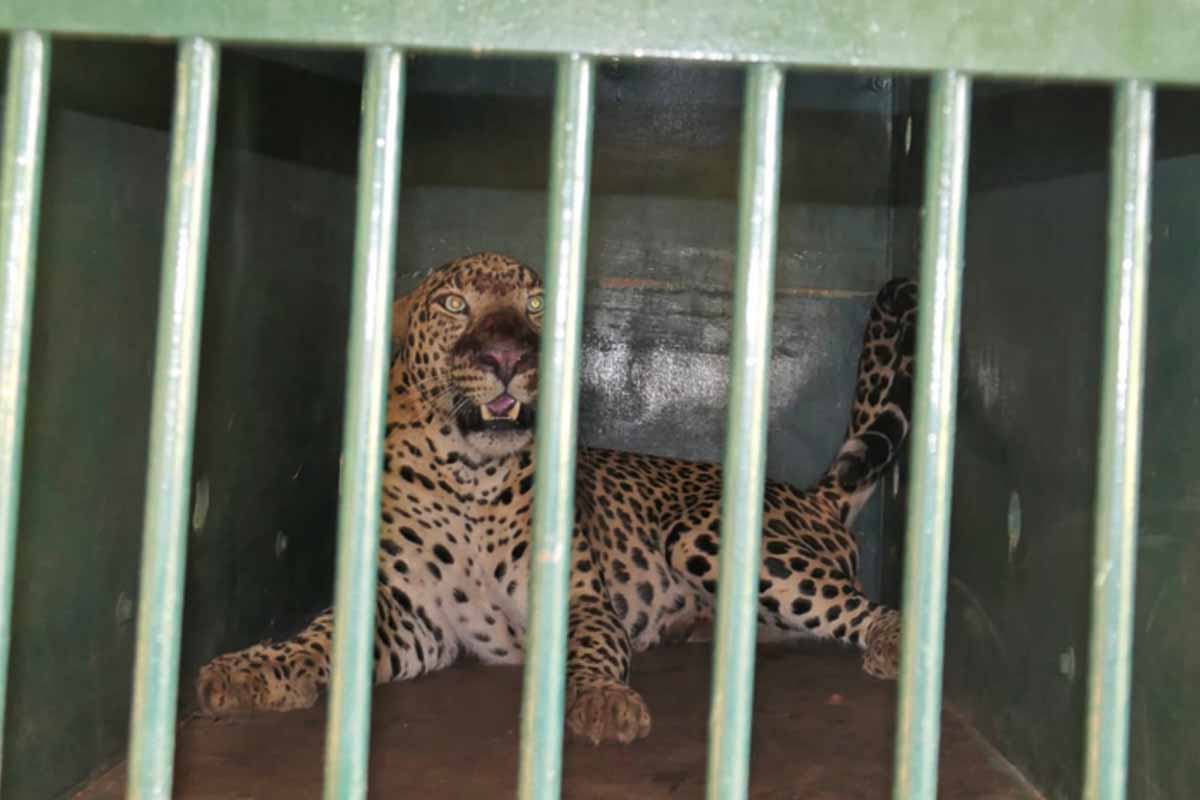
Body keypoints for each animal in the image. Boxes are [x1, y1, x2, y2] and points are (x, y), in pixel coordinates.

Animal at [196, 250, 912, 743]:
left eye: (537, 305)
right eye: (454, 305)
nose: (508, 357)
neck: (470, 477)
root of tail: (813, 496)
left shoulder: (581, 598)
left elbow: (591, 649)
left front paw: (600, 700)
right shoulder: (413, 615)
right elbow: (324, 633)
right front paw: (253, 670)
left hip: (705, 531)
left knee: (861, 605)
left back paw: (901, 646)